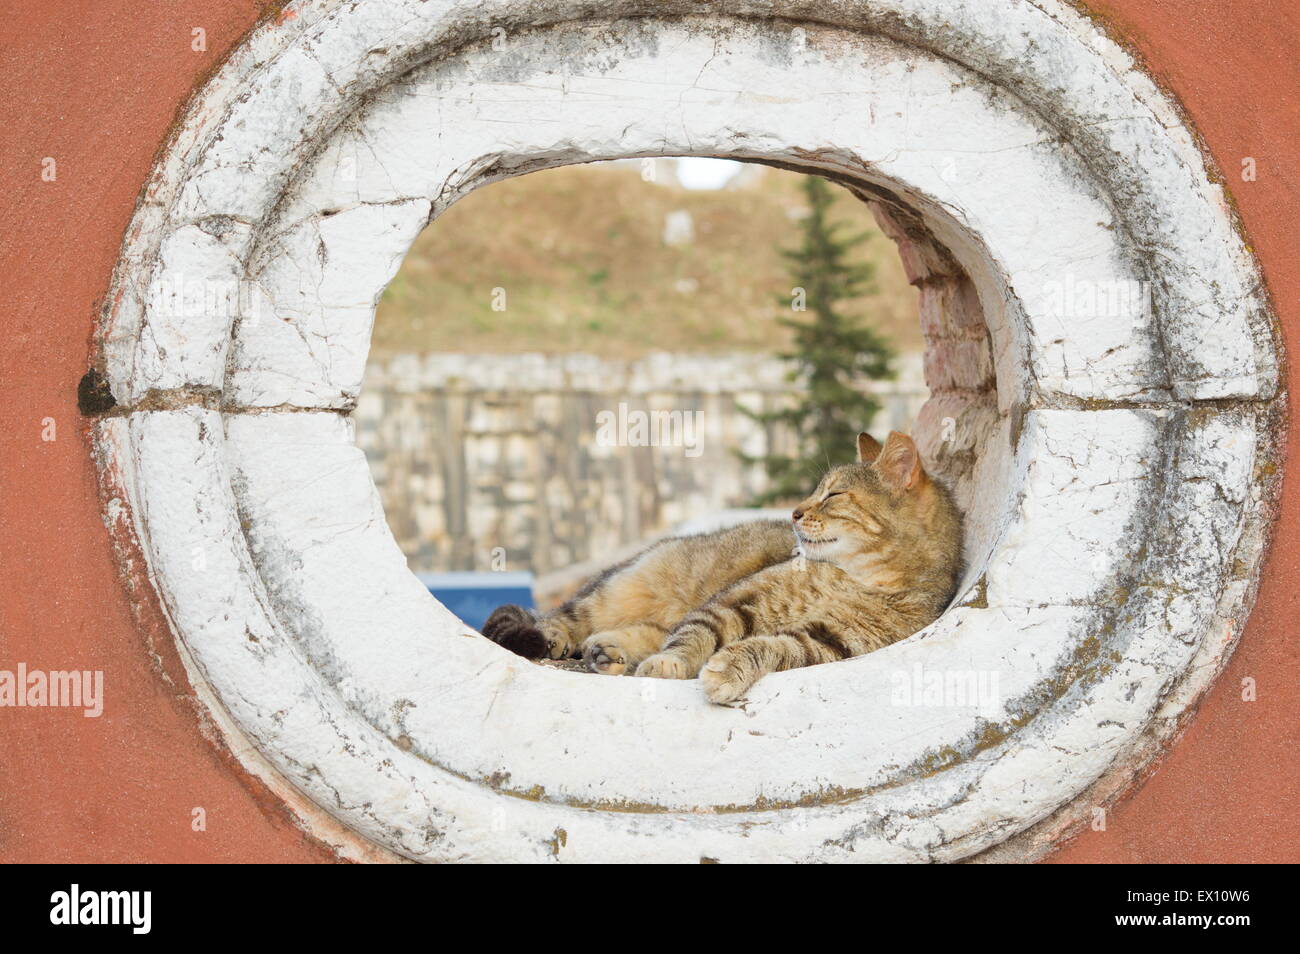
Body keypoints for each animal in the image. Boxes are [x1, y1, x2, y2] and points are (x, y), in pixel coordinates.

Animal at [483, 428, 961, 707]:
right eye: (817, 490)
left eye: (834, 495)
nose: (794, 512)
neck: (853, 577)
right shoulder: (740, 600)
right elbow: (695, 635)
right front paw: (673, 663)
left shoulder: (829, 643)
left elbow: (771, 647)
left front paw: (729, 668)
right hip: (625, 588)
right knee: (566, 616)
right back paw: (559, 637)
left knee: (644, 631)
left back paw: (610, 652)